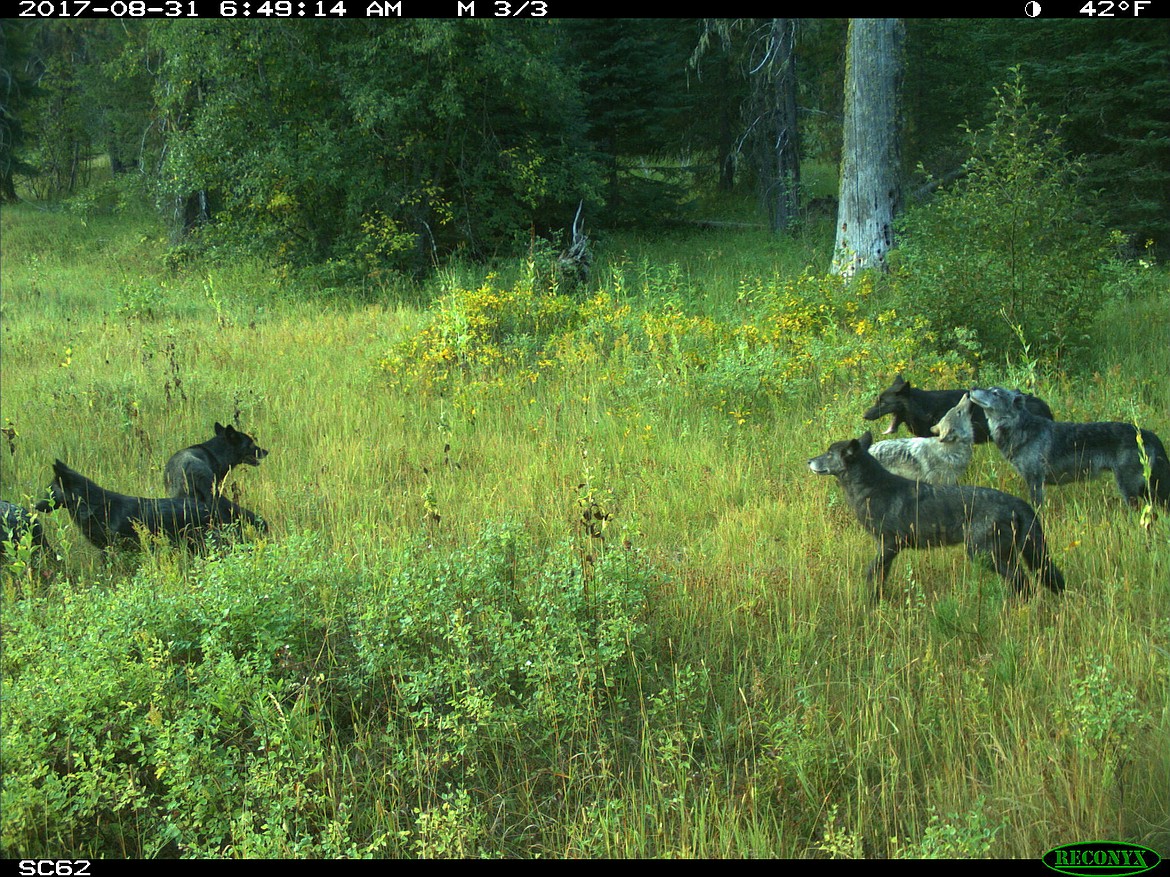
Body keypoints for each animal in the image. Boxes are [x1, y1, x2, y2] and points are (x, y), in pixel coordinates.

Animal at [809, 434, 1067, 603]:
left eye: (829, 454)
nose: (808, 461)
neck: (872, 489)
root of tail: (1018, 502)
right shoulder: (888, 549)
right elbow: (881, 577)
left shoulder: (890, 544)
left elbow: (872, 572)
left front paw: (870, 603)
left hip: (983, 554)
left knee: (1023, 582)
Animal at [968, 388, 1170, 512]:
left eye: (995, 392)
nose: (971, 388)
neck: (1021, 429)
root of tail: (1148, 434)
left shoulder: (1035, 480)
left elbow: (1037, 507)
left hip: (1130, 489)